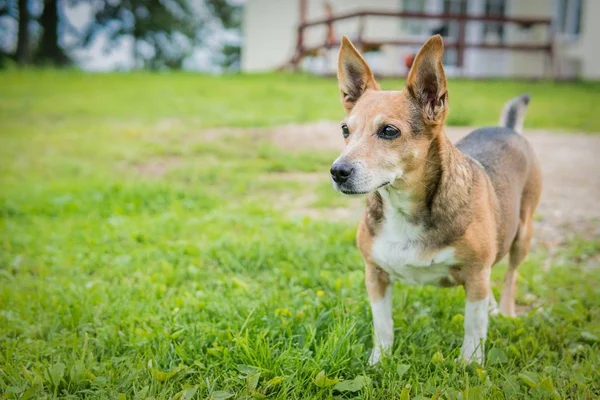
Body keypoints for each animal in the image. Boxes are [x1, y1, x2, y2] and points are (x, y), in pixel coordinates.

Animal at [330, 36, 540, 364]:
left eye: (389, 131)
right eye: (345, 130)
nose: (338, 171)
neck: (403, 208)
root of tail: (506, 128)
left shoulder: (476, 275)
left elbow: (474, 326)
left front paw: (470, 365)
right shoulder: (375, 274)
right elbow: (382, 324)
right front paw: (380, 360)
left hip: (522, 235)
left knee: (510, 276)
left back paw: (505, 312)